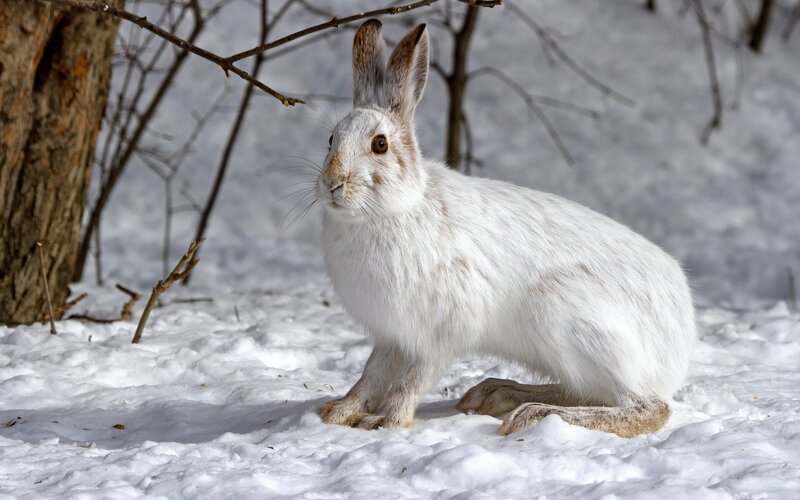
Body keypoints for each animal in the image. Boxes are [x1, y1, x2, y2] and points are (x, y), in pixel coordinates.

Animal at [316, 19, 695, 438]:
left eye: (380, 145)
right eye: (331, 139)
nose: (332, 183)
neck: (394, 208)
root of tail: (680, 340)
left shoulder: (439, 331)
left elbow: (412, 379)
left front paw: (388, 421)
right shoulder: (393, 335)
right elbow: (371, 372)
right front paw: (338, 411)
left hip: (568, 320)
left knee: (647, 407)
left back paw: (534, 414)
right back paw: (498, 394)